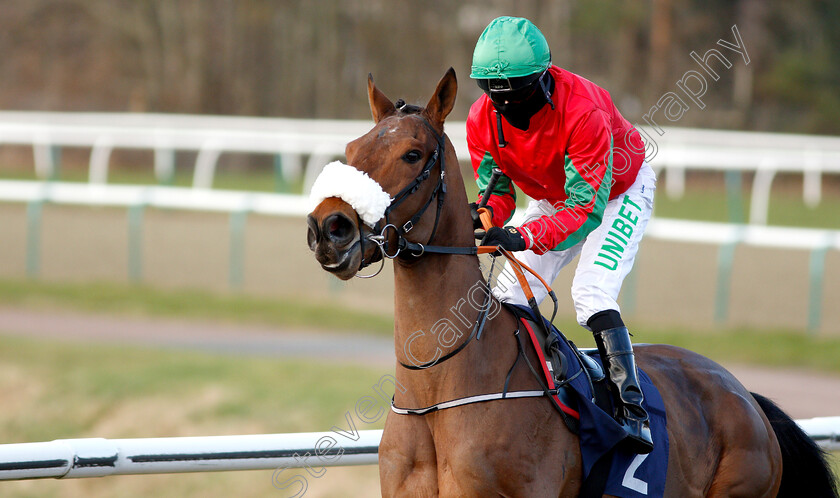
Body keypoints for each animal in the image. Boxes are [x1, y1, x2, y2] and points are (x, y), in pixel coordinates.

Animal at [306, 68, 836, 496]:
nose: (328, 227)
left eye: (413, 154)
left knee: (596, 295)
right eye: (351, 150)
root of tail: (747, 398)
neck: (438, 395)